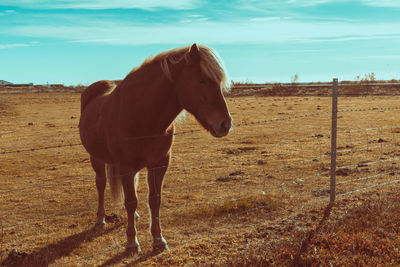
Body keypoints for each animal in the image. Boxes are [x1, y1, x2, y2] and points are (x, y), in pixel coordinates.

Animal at [79, 43, 231, 253]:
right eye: (202, 80)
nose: (225, 124)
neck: (143, 115)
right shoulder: (126, 165)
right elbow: (131, 201)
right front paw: (132, 242)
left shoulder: (159, 163)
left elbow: (154, 199)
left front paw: (158, 239)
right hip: (97, 158)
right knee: (101, 184)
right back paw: (100, 220)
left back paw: (133, 217)